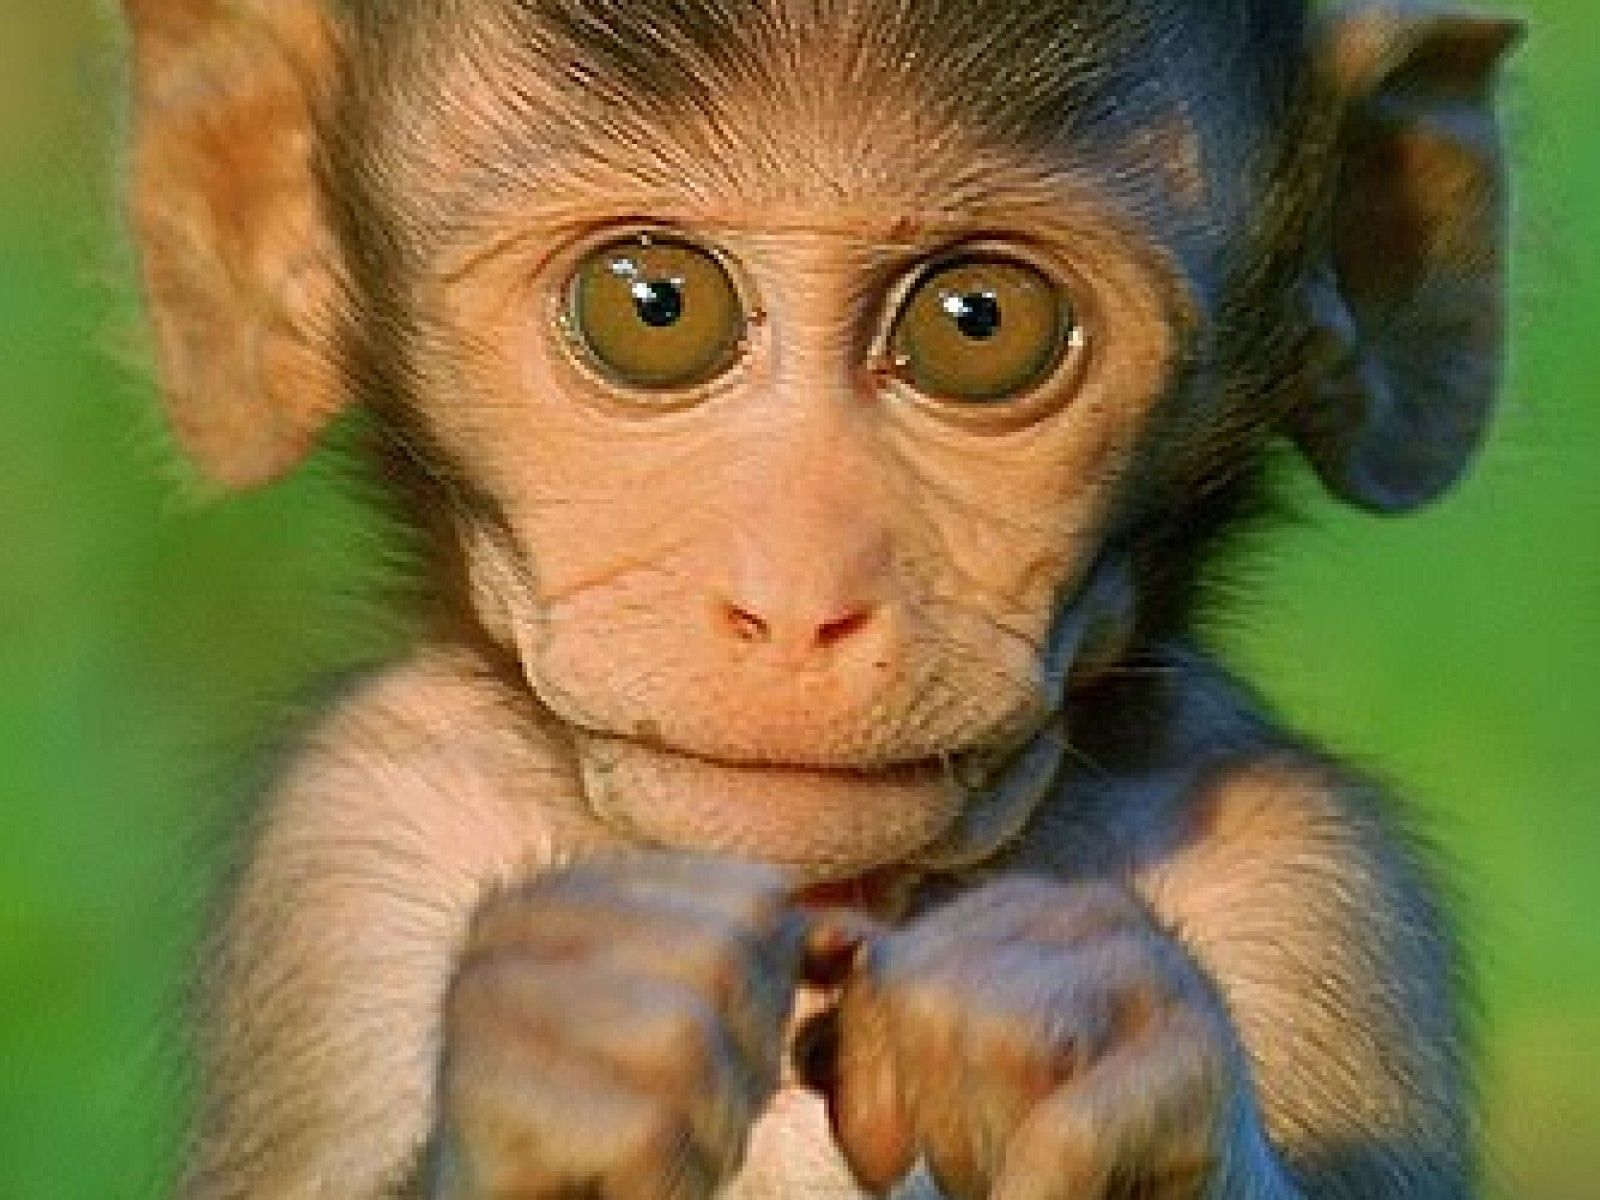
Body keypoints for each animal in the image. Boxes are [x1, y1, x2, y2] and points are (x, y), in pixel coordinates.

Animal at [118, 0, 1520, 1197]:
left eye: (979, 320)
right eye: (653, 306)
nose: (797, 602)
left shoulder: (1312, 870)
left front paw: (1077, 1041)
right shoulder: (345, 837)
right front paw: (562, 1046)